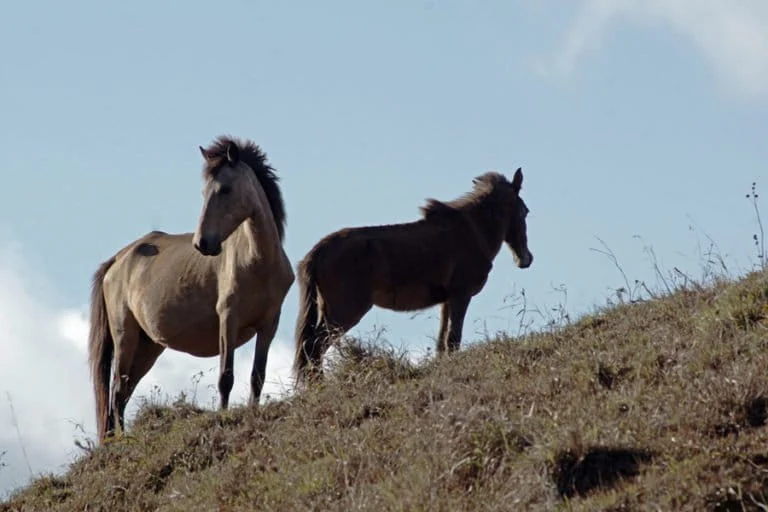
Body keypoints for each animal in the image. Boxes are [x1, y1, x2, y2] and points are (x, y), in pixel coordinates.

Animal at [88, 136, 295, 443]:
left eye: (225, 189)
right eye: (203, 192)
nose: (202, 243)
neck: (258, 263)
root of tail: (118, 259)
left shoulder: (269, 323)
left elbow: (257, 375)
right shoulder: (228, 318)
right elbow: (226, 376)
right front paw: (223, 418)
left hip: (148, 346)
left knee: (123, 392)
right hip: (125, 336)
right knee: (116, 391)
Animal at [292, 168, 533, 386]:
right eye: (525, 211)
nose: (525, 259)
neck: (472, 233)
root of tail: (319, 250)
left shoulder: (447, 301)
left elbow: (442, 343)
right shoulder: (460, 295)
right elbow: (453, 339)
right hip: (344, 311)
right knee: (314, 345)